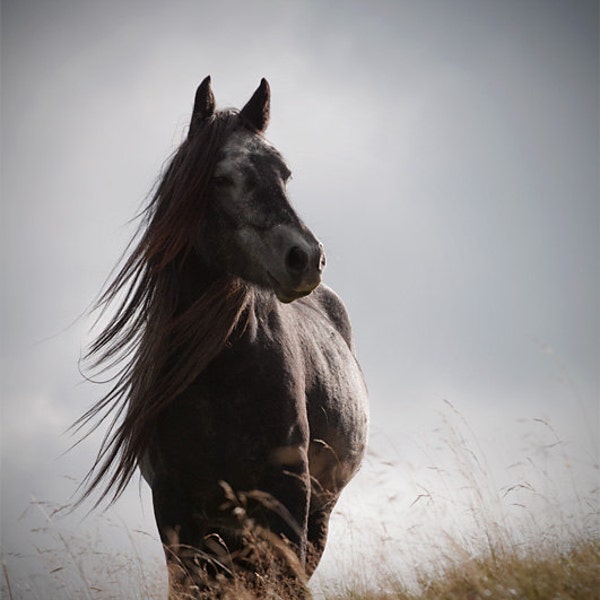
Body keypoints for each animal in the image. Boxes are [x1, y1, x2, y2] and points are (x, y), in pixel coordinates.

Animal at [77, 77, 368, 596]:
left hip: (316, 512)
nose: (305, 258)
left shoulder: (288, 495)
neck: (219, 381)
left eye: (285, 174)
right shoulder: (174, 505)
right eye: (220, 178)